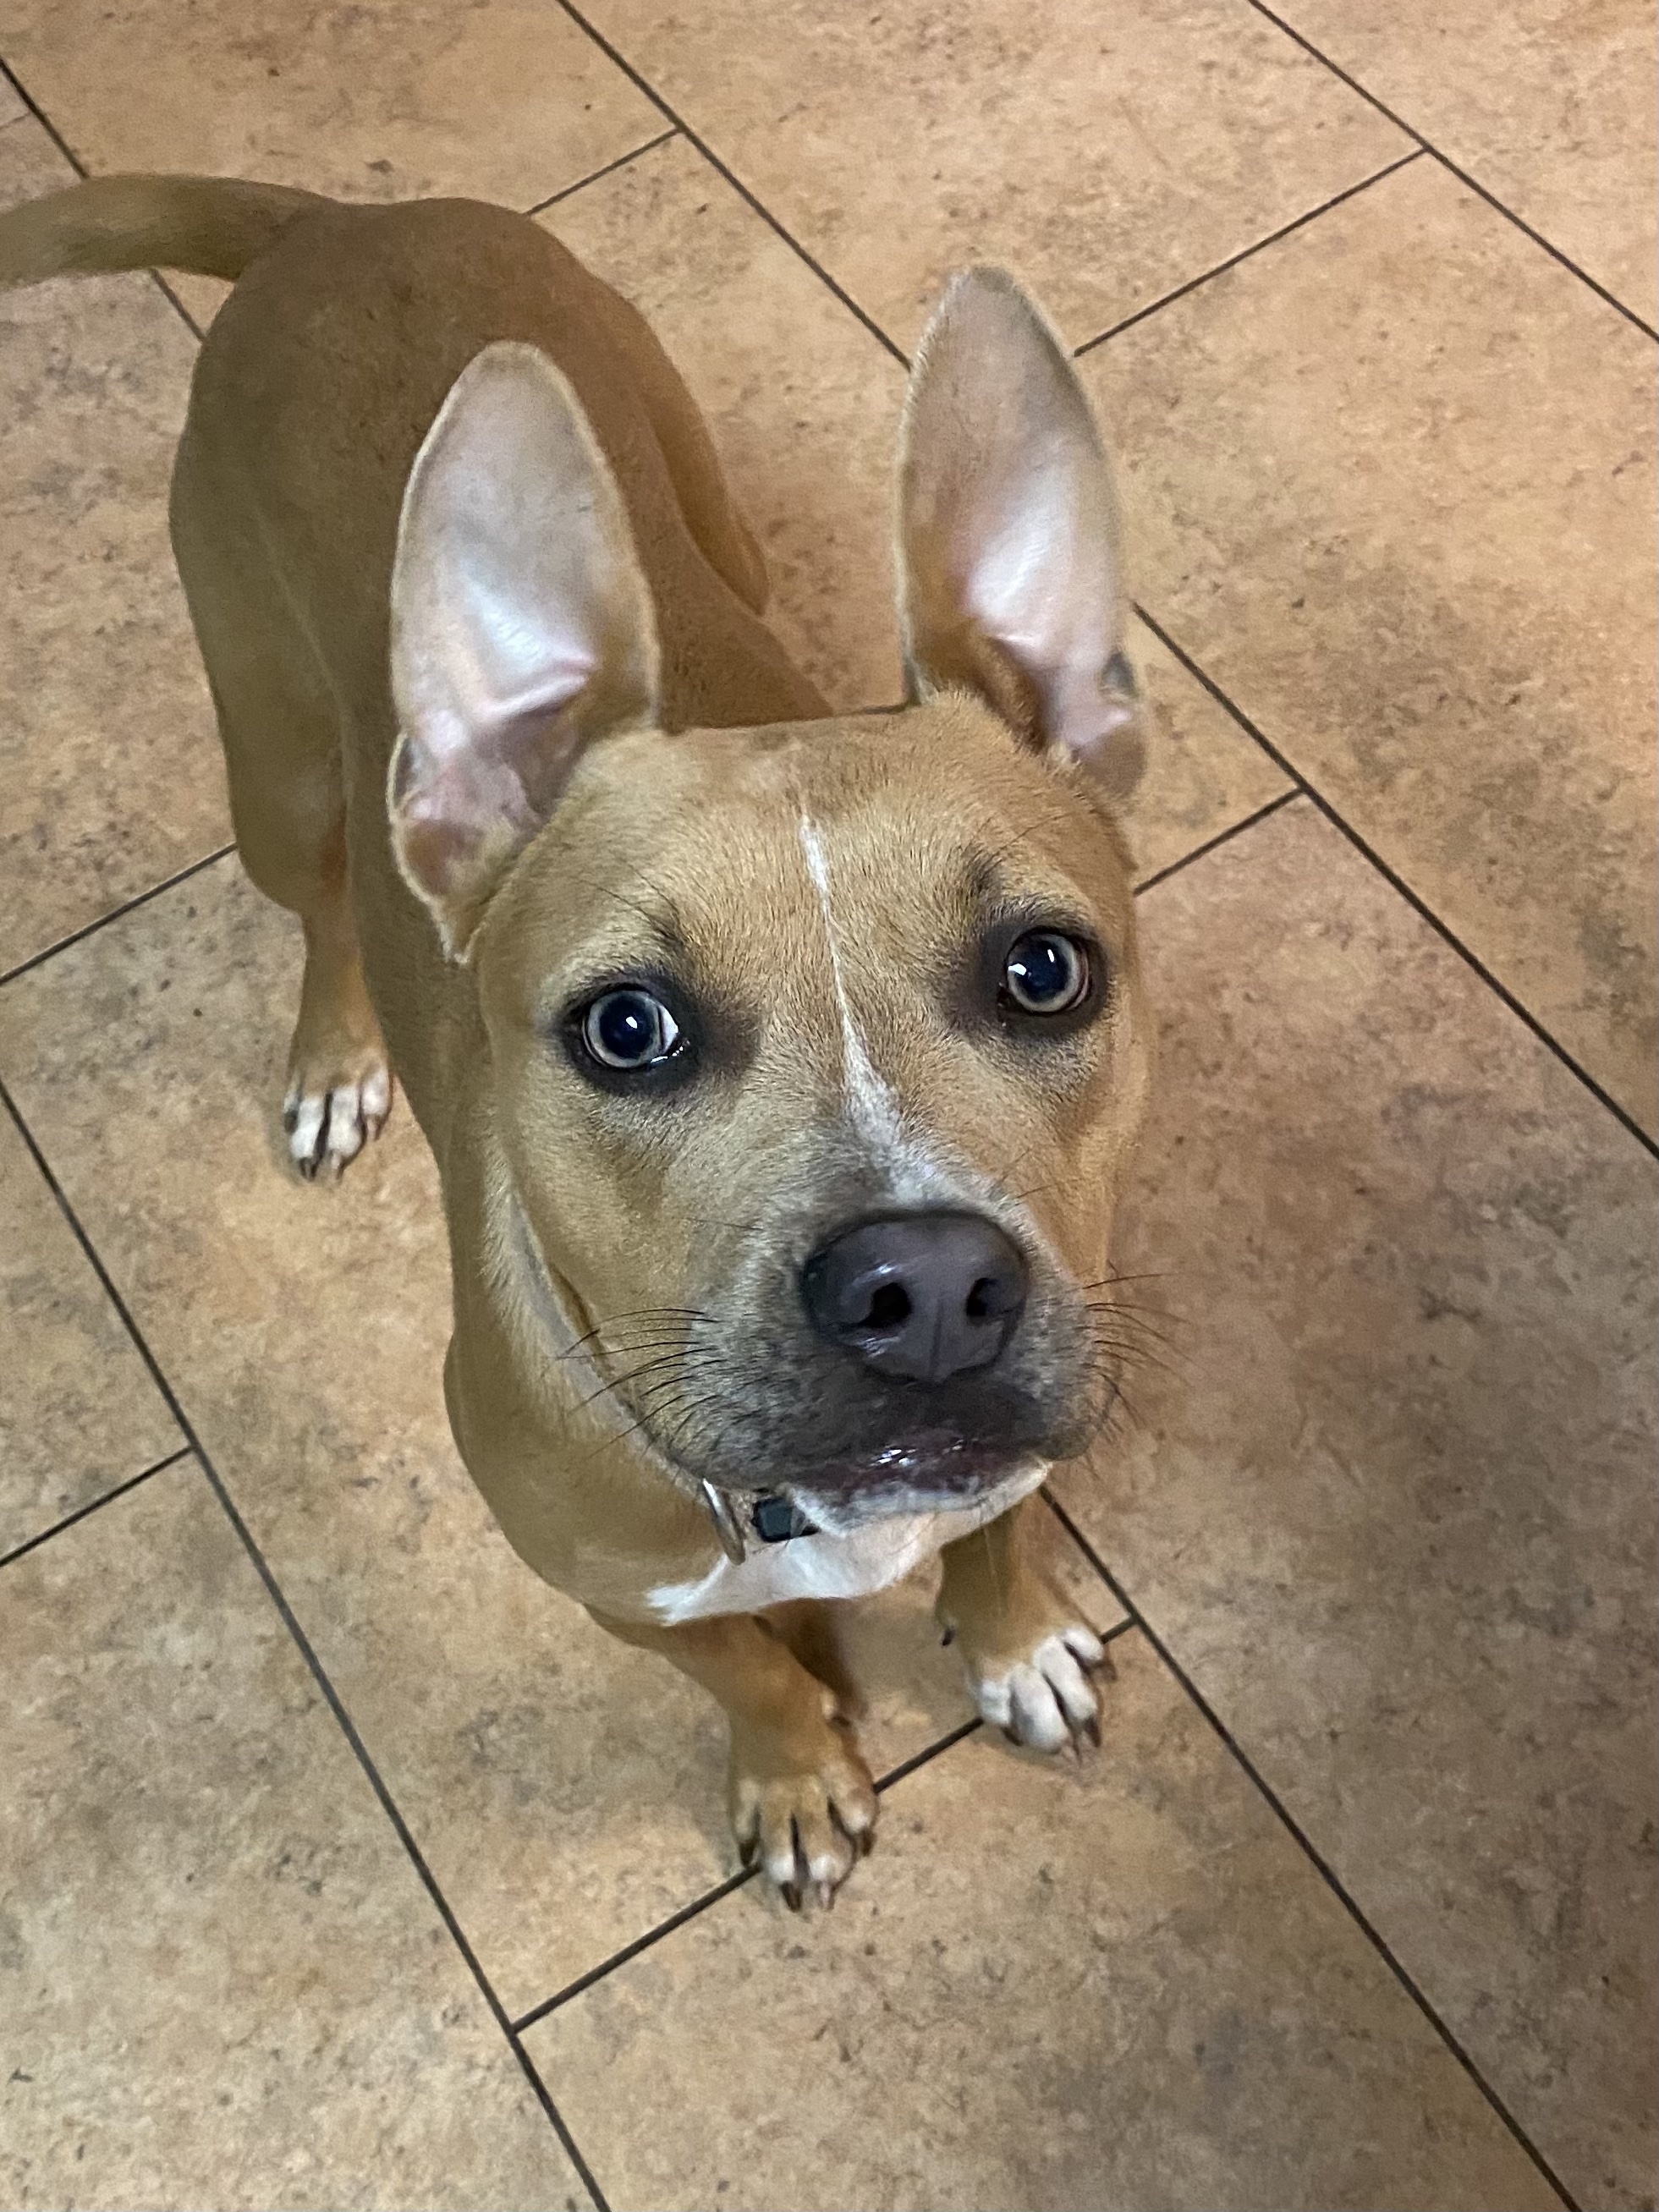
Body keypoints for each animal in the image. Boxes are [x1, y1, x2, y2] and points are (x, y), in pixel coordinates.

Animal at [0, 172, 1159, 1911]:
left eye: (1043, 971)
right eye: (628, 1028)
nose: (932, 1289)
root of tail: (335, 223)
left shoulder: (1019, 1438)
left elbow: (1001, 1522)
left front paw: (1013, 1640)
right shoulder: (612, 1592)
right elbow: (748, 1669)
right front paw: (796, 1773)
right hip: (274, 767)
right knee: (325, 907)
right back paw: (335, 1059)